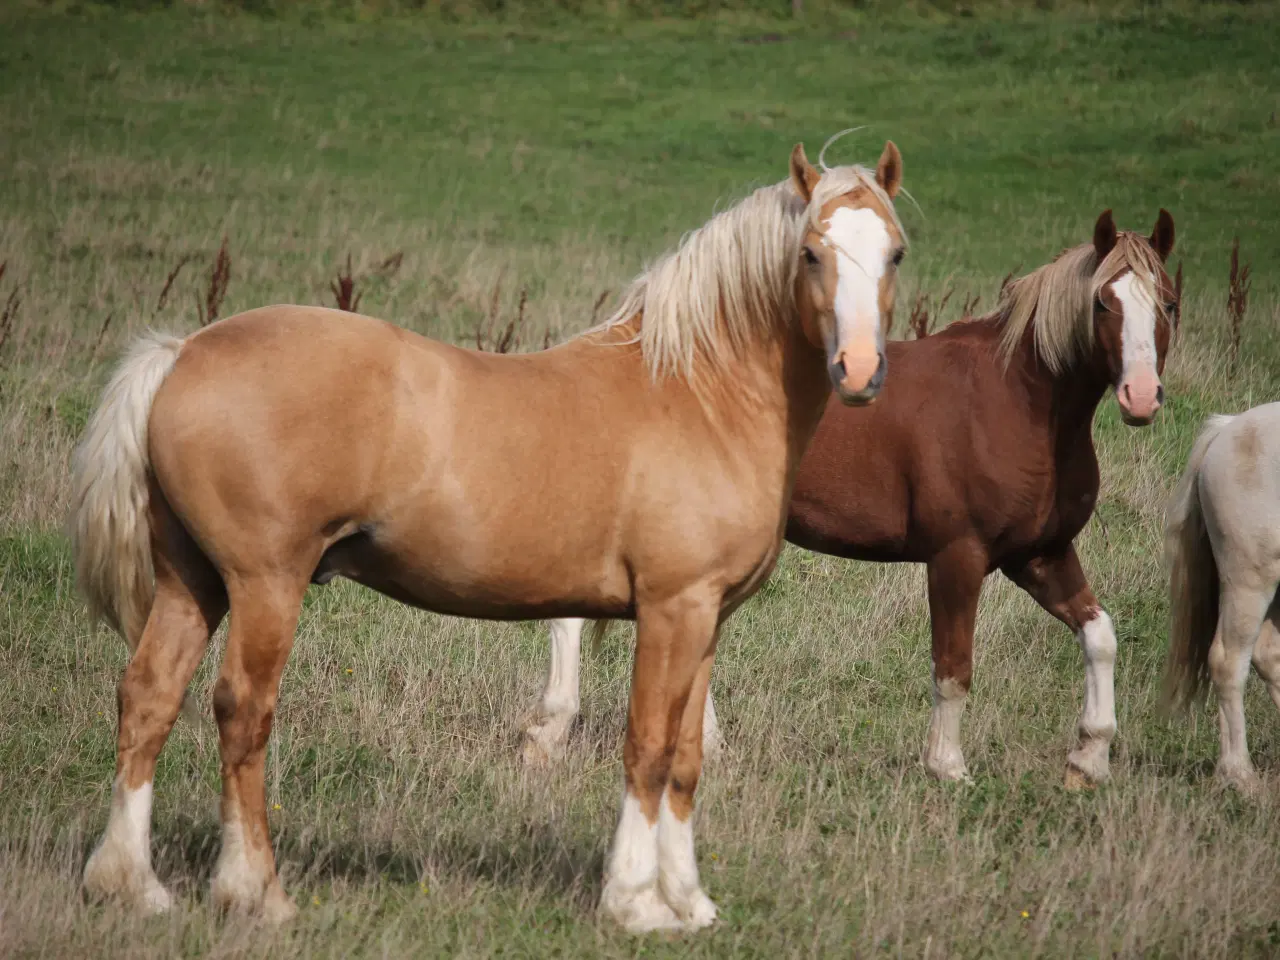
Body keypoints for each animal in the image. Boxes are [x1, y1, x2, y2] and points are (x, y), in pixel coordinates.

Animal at [70, 140, 906, 931]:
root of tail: (184, 351)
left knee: (148, 698)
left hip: (191, 582)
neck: (695, 389)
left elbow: (686, 759)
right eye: (811, 252)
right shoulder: (673, 610)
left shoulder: (707, 620)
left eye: (896, 251)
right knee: (243, 712)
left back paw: (131, 885)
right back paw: (256, 893)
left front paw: (688, 903)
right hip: (263, 584)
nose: (860, 370)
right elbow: (646, 747)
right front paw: (635, 904)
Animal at [532, 208, 1177, 788]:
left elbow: (1100, 637)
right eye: (1103, 303)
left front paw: (1089, 761)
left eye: (1168, 303)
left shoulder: (1040, 555)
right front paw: (947, 767)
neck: (1016, 402)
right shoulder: (958, 557)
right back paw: (550, 733)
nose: (1141, 397)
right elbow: (954, 666)